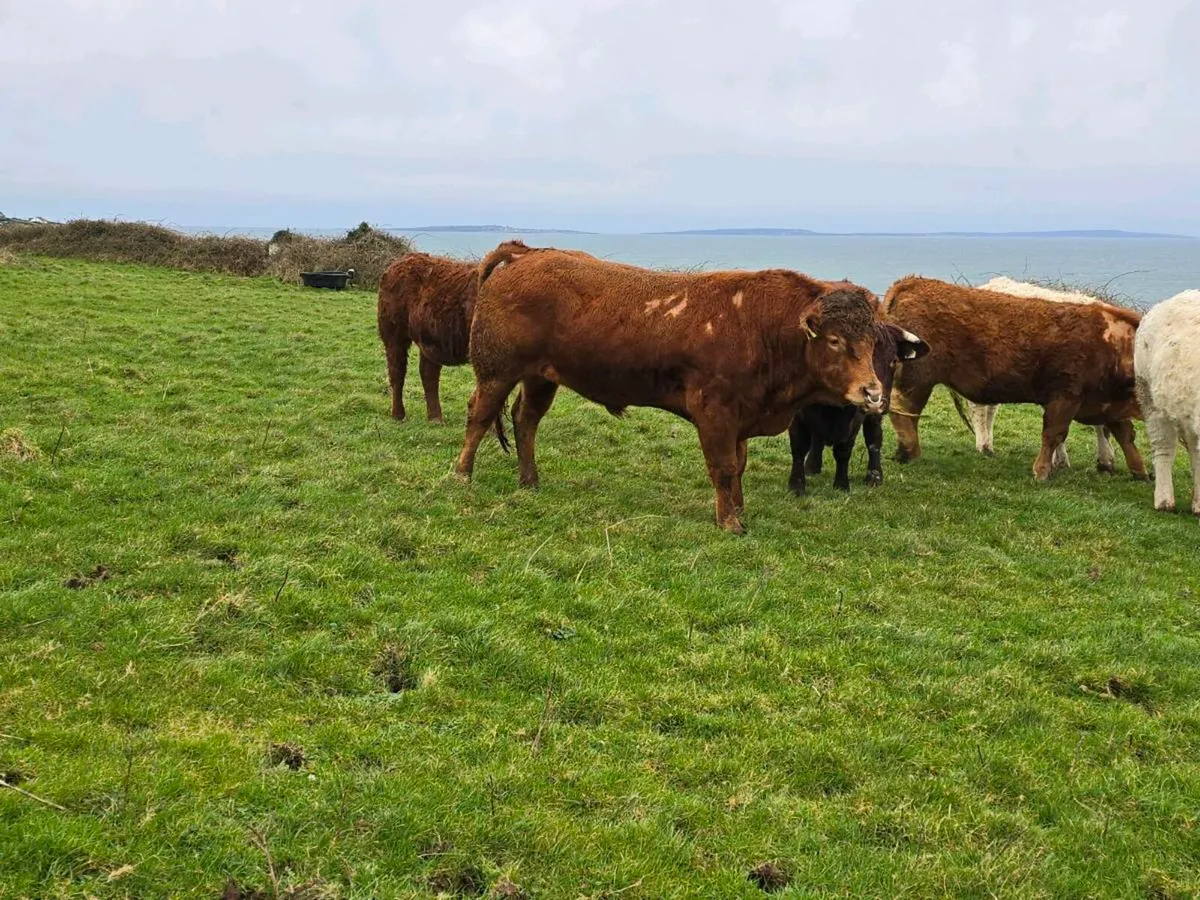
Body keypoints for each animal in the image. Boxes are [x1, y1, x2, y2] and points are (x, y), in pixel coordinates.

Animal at [377, 252, 479, 422]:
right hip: (394, 336)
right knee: (397, 373)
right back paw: (399, 415)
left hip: (429, 342)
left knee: (428, 374)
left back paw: (435, 418)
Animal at [788, 319, 928, 494]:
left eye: (893, 361)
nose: (876, 399)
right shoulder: (796, 415)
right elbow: (799, 448)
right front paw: (796, 486)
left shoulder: (854, 420)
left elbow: (844, 451)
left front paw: (841, 484)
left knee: (874, 439)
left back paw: (874, 476)